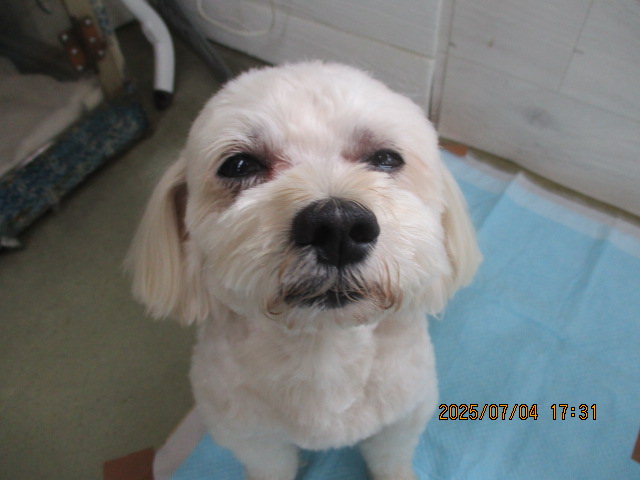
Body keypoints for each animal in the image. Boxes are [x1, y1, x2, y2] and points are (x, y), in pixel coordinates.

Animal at [127, 62, 481, 480]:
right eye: (239, 165)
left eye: (387, 158)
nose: (339, 225)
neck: (323, 352)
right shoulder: (254, 438)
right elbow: (271, 466)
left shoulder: (403, 416)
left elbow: (390, 458)